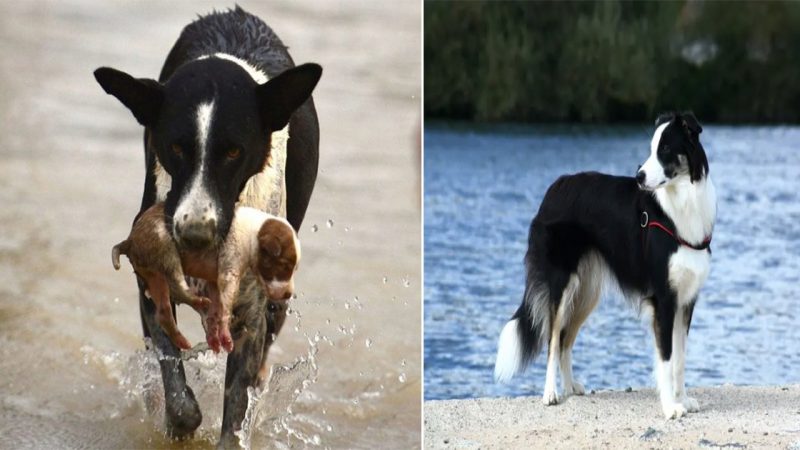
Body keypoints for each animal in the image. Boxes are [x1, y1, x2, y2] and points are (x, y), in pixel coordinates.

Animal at [98, 7, 324, 446]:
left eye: (234, 152)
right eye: (175, 147)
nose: (194, 235)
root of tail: (235, 14)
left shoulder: (253, 314)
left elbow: (237, 404)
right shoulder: (151, 286)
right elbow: (173, 377)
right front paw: (176, 419)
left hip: (278, 297)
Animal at [494, 111, 720, 418]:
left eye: (664, 150)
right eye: (651, 149)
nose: (639, 176)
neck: (681, 202)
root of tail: (555, 188)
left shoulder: (686, 300)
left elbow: (681, 358)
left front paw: (683, 400)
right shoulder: (663, 299)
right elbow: (666, 358)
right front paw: (670, 406)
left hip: (587, 292)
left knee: (565, 338)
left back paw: (570, 387)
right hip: (561, 284)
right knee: (552, 338)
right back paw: (550, 393)